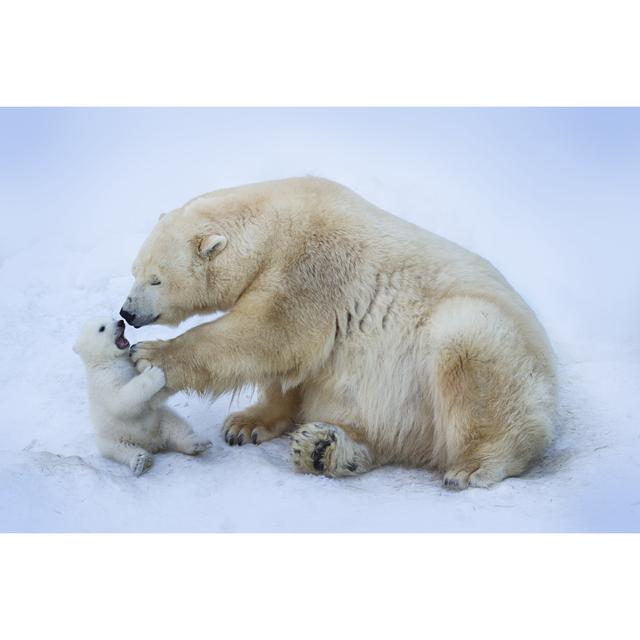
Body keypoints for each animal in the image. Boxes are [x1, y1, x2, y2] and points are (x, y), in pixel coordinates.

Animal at [74, 316, 211, 476]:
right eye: (102, 328)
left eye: (112, 318)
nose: (121, 322)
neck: (108, 360)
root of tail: (152, 443)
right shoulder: (104, 380)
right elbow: (120, 401)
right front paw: (154, 373)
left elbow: (150, 401)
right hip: (112, 437)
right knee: (120, 450)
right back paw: (141, 461)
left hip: (160, 418)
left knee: (176, 427)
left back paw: (197, 443)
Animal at [121, 178, 556, 488]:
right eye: (134, 271)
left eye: (156, 279)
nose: (127, 312)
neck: (275, 224)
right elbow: (293, 367)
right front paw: (245, 425)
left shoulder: (315, 265)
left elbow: (271, 333)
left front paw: (150, 356)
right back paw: (323, 449)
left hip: (494, 350)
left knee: (469, 350)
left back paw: (474, 465)